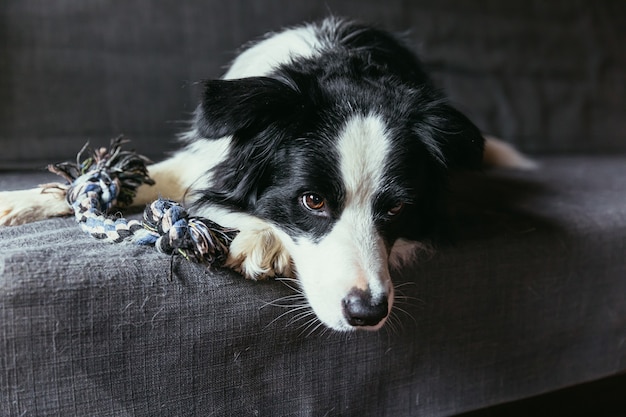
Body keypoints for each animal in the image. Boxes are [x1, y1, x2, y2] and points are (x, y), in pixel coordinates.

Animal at [0, 17, 528, 332]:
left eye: (397, 207)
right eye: (312, 200)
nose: (367, 314)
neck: (342, 69)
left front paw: (261, 239)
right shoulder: (204, 156)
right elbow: (132, 177)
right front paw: (19, 201)